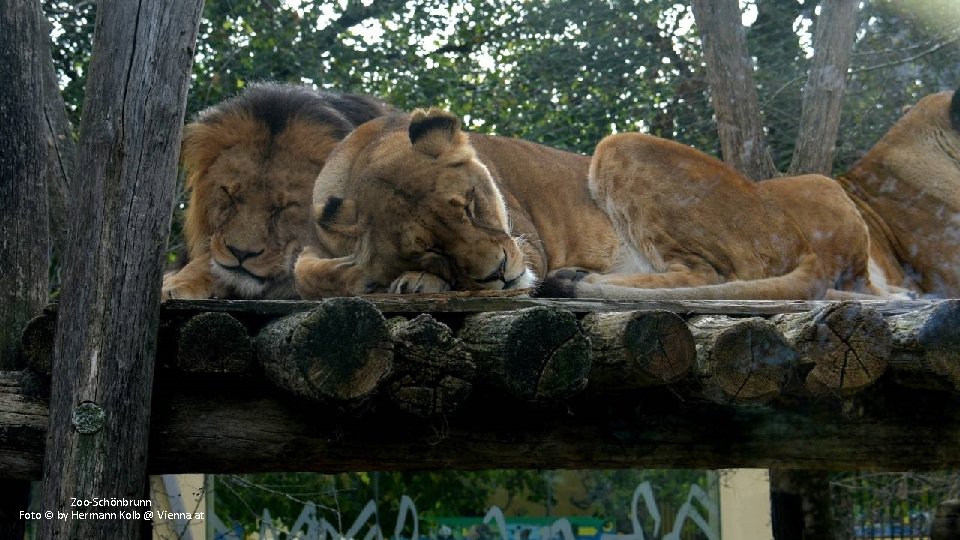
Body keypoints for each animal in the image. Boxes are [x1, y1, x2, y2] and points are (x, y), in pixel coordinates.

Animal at [294, 107, 884, 302]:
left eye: (471, 206)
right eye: (431, 249)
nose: (500, 274)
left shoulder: (526, 242)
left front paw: (411, 283)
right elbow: (307, 271)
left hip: (619, 145)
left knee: (705, 275)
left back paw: (577, 279)